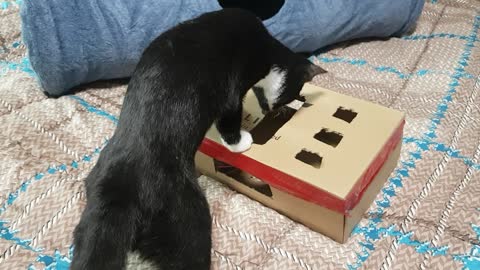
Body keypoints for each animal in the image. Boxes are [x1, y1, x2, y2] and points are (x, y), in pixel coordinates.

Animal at [70, 7, 326, 268]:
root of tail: (126, 189)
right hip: (187, 217)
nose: (276, 111)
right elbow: (230, 119)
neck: (268, 50)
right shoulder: (233, 88)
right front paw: (241, 142)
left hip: (94, 209)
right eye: (295, 95)